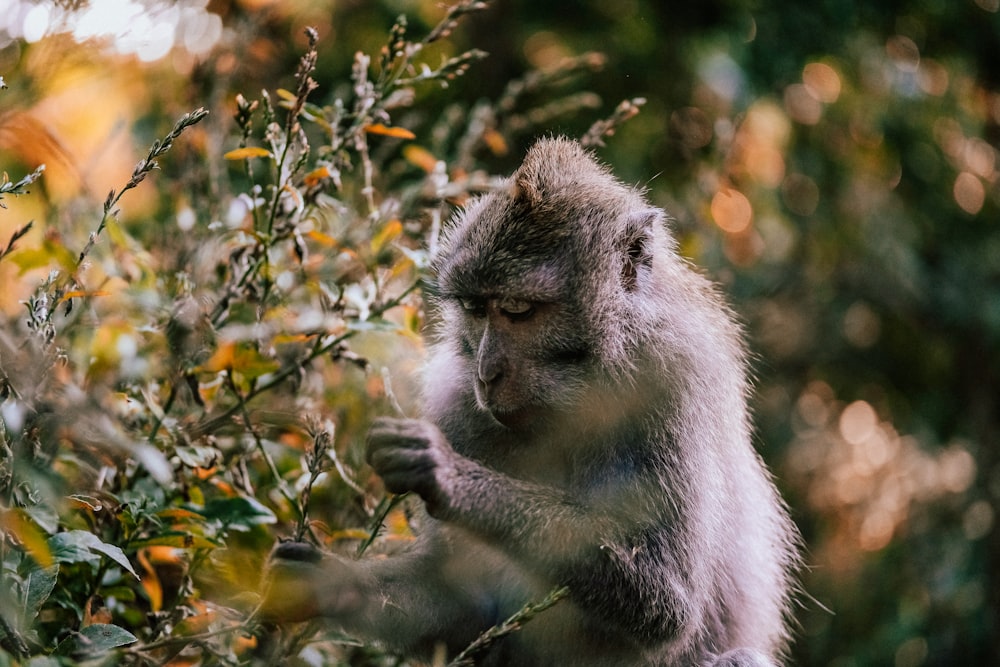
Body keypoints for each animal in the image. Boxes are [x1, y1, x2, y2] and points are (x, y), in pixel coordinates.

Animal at [262, 137, 800, 667]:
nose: (486, 373)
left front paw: (451, 478)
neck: (574, 398)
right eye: (476, 309)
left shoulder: (673, 382)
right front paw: (330, 584)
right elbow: (463, 608)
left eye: (518, 310)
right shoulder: (456, 405)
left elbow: (667, 602)